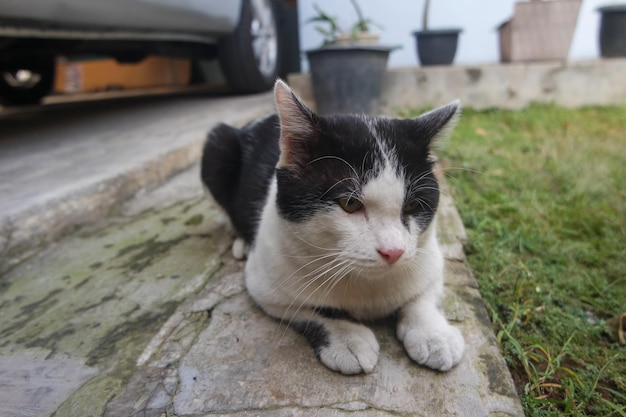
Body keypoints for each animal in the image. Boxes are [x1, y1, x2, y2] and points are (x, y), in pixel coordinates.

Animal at [201, 79, 464, 376]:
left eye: (411, 207)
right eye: (349, 203)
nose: (393, 252)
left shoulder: (429, 257)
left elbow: (423, 295)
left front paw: (434, 335)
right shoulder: (264, 284)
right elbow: (308, 308)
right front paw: (347, 338)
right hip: (217, 144)